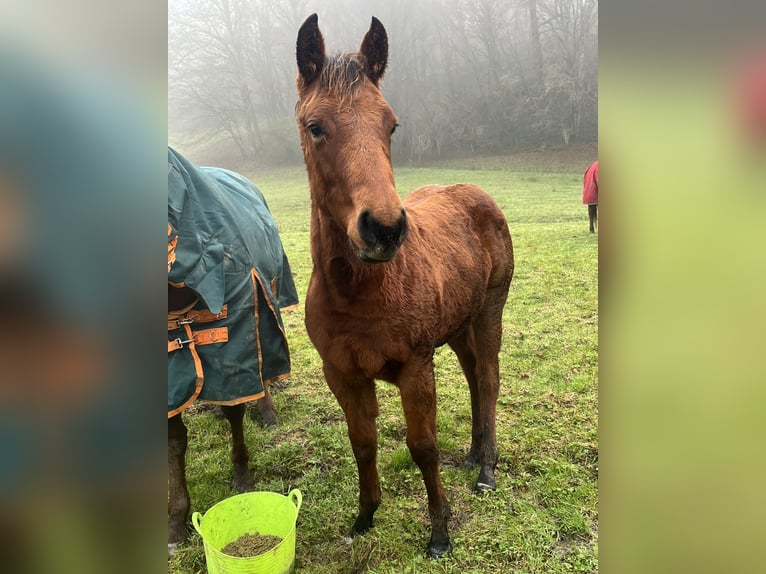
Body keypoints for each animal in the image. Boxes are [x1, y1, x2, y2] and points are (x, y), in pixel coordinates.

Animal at [167, 148, 298, 551]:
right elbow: (174, 442)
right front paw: (176, 521)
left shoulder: (235, 343)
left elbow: (235, 410)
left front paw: (242, 478)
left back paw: (267, 410)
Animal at [295, 14, 514, 557]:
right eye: (315, 126)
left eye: (390, 124)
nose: (385, 229)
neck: (359, 292)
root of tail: (477, 194)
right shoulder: (343, 374)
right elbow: (362, 442)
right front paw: (364, 515)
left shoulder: (416, 368)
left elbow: (423, 447)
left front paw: (439, 532)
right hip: (457, 325)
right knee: (474, 375)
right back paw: (474, 453)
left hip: (489, 312)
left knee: (489, 379)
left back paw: (486, 469)